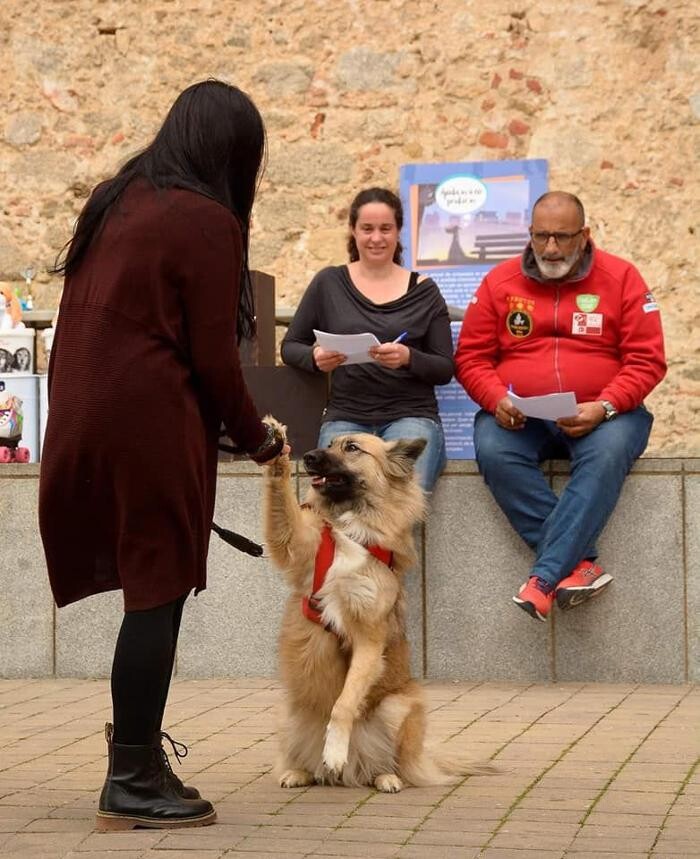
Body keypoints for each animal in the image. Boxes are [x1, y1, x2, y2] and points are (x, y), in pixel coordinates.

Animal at [266, 420, 456, 796]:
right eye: (329, 444)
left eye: (352, 448)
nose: (308, 457)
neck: (348, 527)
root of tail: (353, 771)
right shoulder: (295, 544)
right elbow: (282, 505)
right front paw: (276, 444)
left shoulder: (368, 640)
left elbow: (344, 703)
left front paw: (335, 749)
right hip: (288, 708)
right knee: (302, 757)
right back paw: (299, 771)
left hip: (401, 706)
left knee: (391, 762)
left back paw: (382, 775)